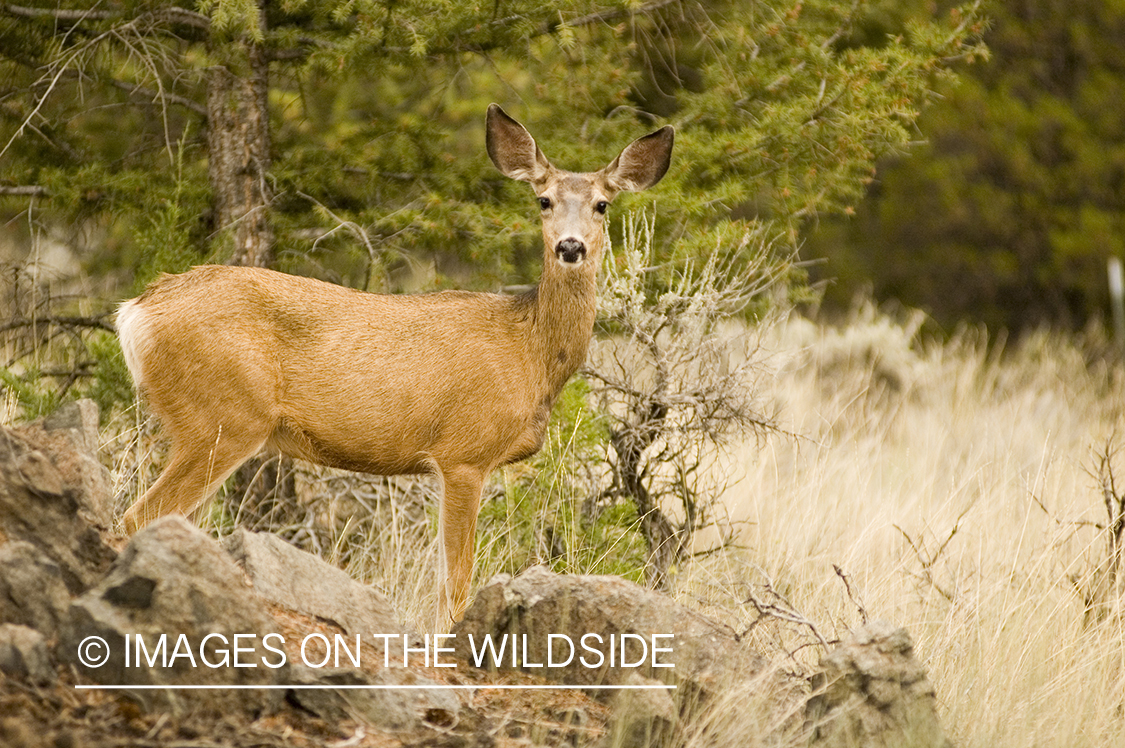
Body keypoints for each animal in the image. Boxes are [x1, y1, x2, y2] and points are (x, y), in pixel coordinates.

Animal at [116, 104, 674, 629]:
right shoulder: (463, 454)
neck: (529, 351)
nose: (570, 246)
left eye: (602, 204)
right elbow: (456, 581)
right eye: (544, 200)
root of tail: (137, 311)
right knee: (139, 515)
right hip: (223, 418)